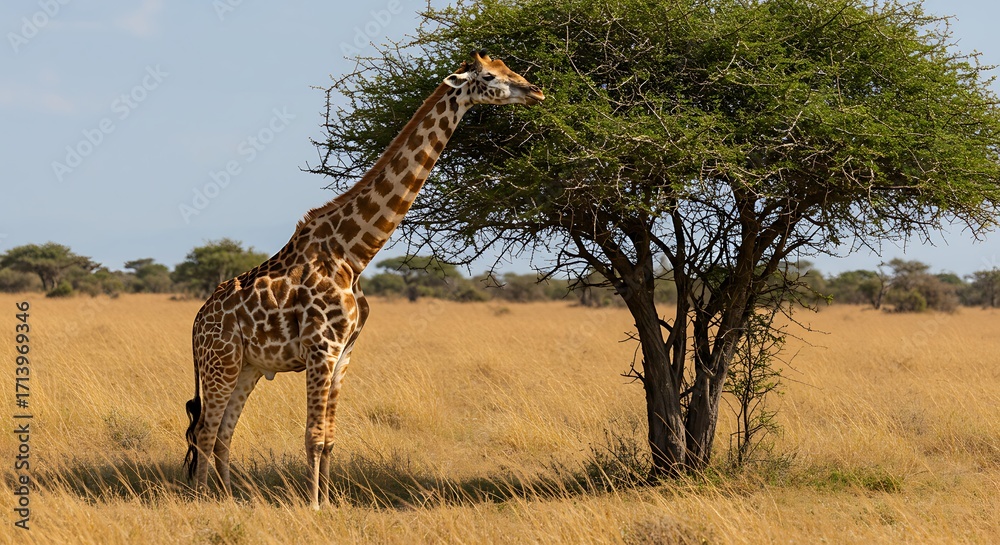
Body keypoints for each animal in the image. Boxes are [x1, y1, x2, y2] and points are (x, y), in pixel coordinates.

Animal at [183, 50, 544, 509]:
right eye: (490, 77)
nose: (536, 90)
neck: (353, 254)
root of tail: (196, 323)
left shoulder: (344, 354)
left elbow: (330, 439)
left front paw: (330, 502)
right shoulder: (321, 348)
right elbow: (313, 436)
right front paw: (314, 506)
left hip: (248, 367)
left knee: (223, 434)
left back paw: (228, 498)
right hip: (221, 362)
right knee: (205, 431)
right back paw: (201, 500)